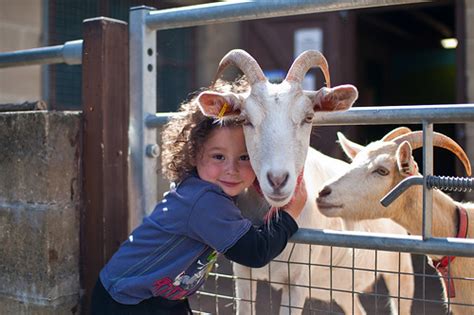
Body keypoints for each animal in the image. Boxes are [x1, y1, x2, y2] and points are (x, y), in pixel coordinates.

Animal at [196, 50, 414, 314]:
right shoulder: (243, 273)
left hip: (401, 269)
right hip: (342, 288)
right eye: (245, 120)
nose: (277, 180)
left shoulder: (298, 281)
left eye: (308, 117)